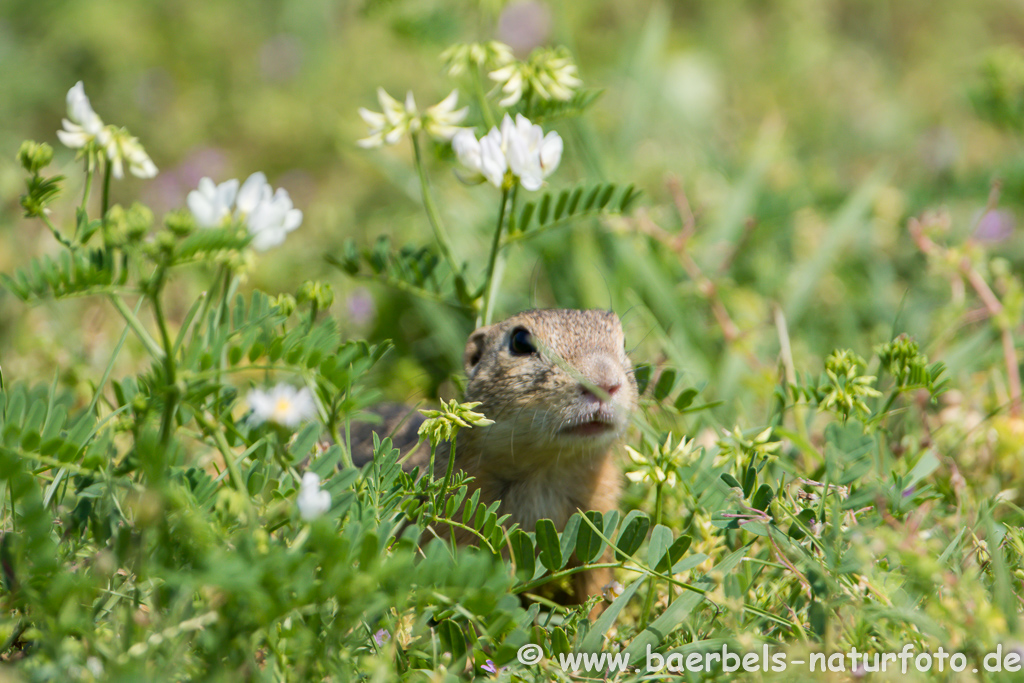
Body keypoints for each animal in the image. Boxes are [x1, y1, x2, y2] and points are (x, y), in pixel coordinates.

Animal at [354, 309, 638, 610]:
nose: (605, 383)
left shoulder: (599, 518)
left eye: (623, 341)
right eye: (520, 341)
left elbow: (596, 585)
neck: (548, 470)